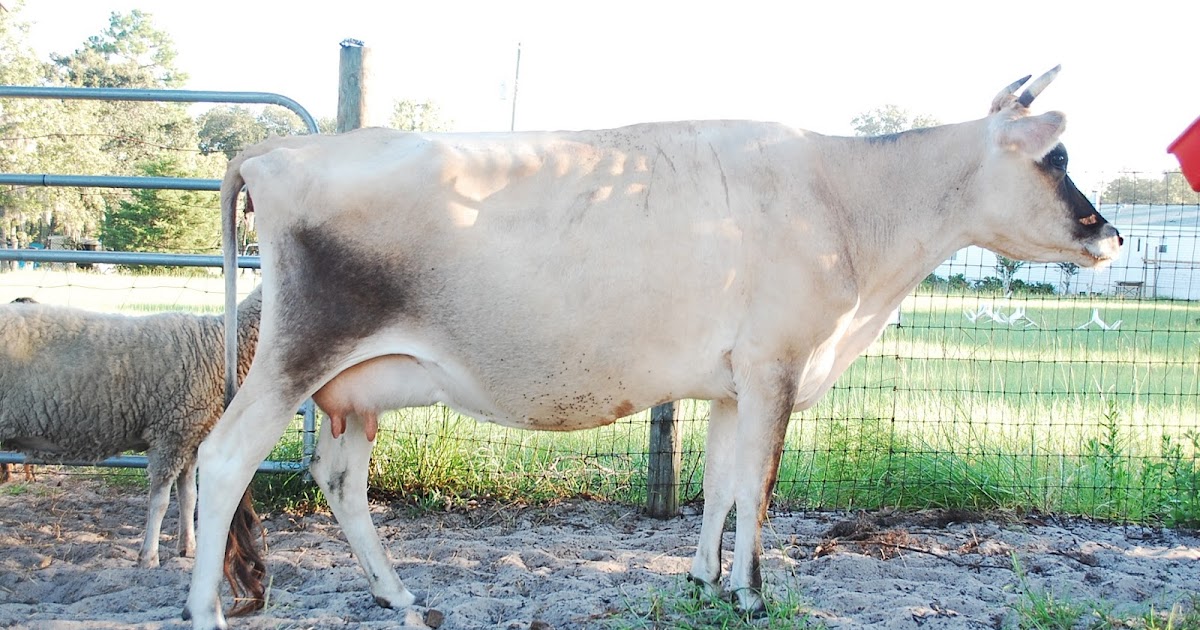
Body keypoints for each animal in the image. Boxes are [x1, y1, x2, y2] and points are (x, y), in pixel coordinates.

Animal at [183, 66, 1121, 628]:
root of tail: (279, 147)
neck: (848, 202)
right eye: (1057, 156)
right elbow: (760, 490)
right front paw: (751, 593)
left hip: (355, 388)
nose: (1109, 233)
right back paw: (205, 610)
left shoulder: (734, 380)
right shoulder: (777, 364)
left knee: (338, 476)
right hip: (296, 353)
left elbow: (721, 485)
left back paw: (402, 595)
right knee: (224, 461)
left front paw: (704, 578)